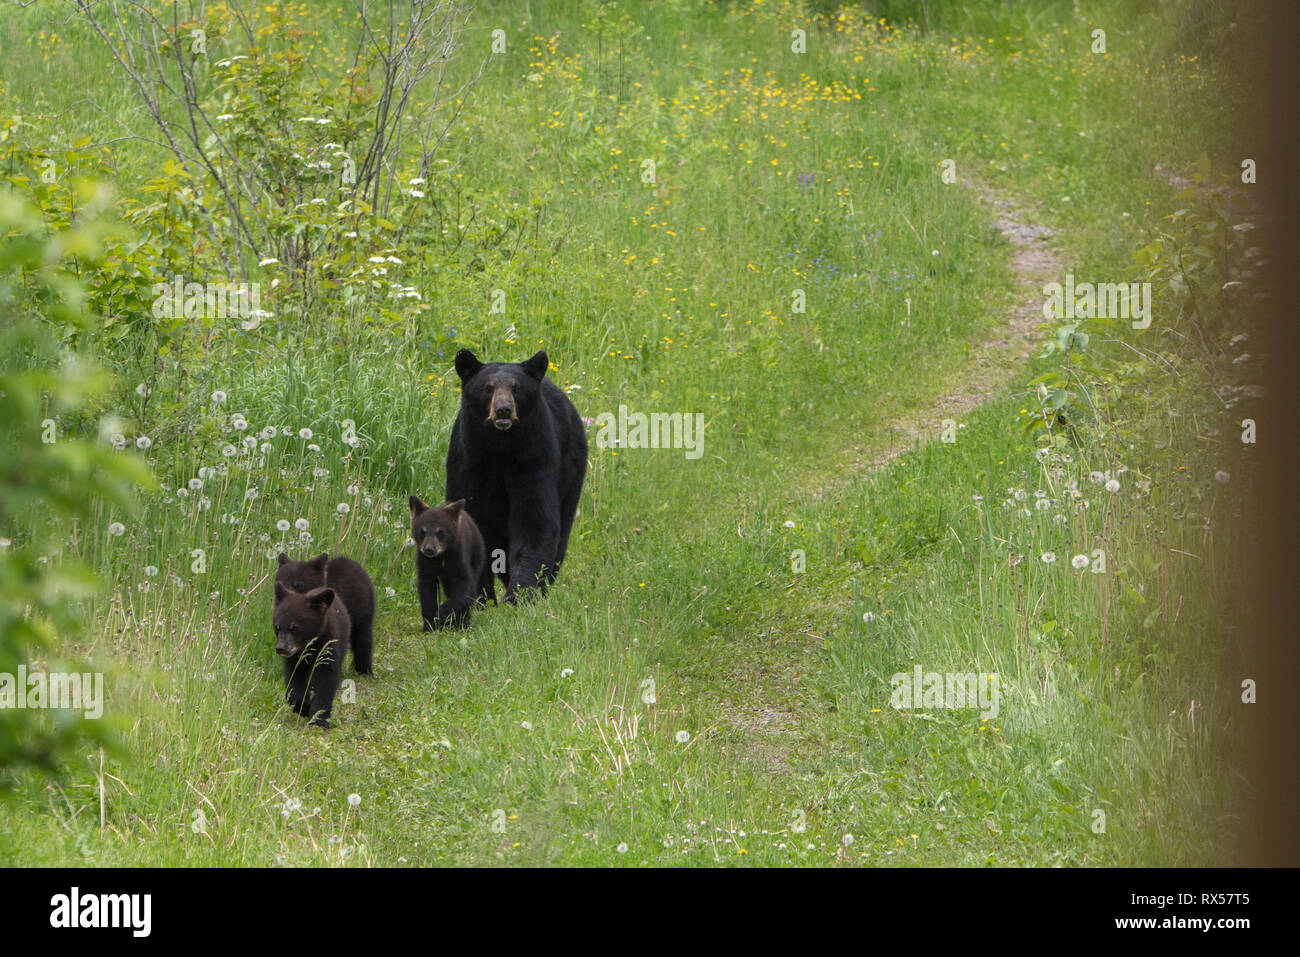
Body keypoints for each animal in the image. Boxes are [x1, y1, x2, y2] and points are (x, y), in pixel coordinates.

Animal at [271, 582, 351, 722]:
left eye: (294, 627)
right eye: (277, 627)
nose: (280, 648)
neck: (307, 648)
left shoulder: (327, 650)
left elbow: (326, 682)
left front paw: (318, 718)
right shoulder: (294, 661)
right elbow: (294, 685)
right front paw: (304, 707)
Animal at [275, 548, 374, 676]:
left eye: (298, 584)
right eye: (280, 580)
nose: (286, 597)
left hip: (363, 611)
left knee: (363, 637)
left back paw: (364, 669)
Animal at [408, 501, 486, 629]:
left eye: (440, 532)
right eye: (422, 531)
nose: (429, 549)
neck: (441, 556)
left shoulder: (458, 556)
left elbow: (465, 586)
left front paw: (441, 614)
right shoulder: (425, 562)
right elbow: (426, 588)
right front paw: (429, 624)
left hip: (477, 554)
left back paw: (463, 622)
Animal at [447, 351, 590, 600]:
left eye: (516, 388)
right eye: (488, 387)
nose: (503, 409)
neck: (500, 447)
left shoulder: (533, 458)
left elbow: (534, 519)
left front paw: (521, 594)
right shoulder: (468, 462)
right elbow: (471, 519)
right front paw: (481, 597)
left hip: (571, 470)